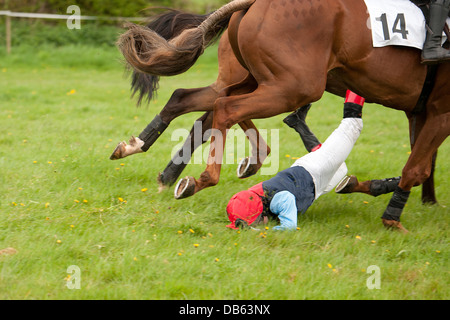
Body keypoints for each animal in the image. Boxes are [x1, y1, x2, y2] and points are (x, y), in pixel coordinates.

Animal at [118, 0, 448, 230]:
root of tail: (253, 4)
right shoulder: (440, 111)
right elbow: (418, 168)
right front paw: (393, 217)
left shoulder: (419, 111)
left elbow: (423, 162)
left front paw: (423, 200)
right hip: (293, 86)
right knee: (225, 108)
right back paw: (207, 176)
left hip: (260, 80)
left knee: (195, 100)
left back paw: (148, 154)